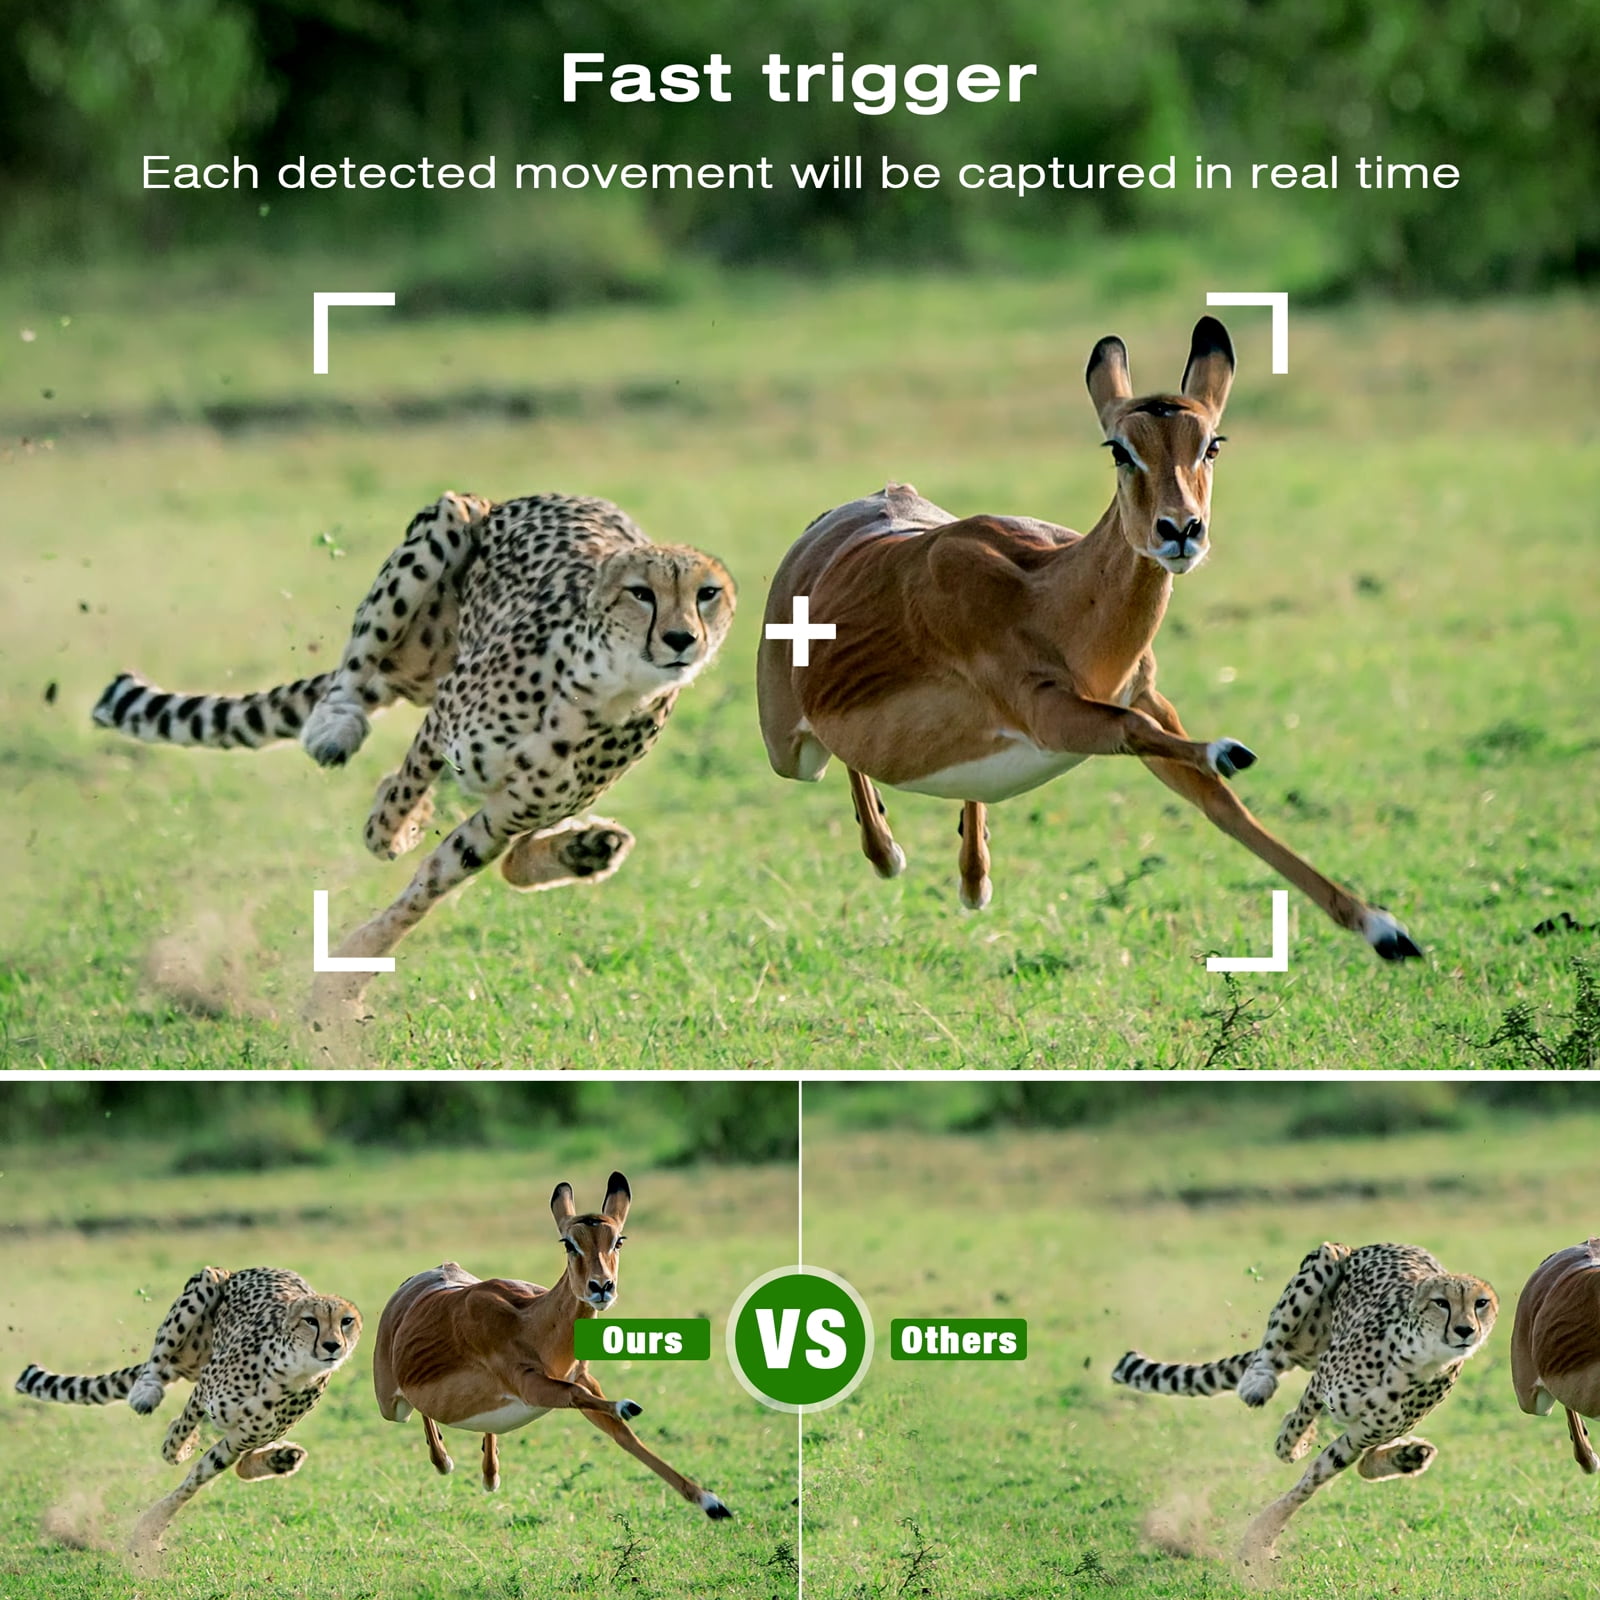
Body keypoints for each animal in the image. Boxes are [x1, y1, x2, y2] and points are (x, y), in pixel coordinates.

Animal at [371, 1171, 731, 1518]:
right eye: (569, 1243)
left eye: (618, 1240)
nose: (602, 1286)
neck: (531, 1323)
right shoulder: (531, 1385)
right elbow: (580, 1396)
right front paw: (627, 1405)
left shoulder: (582, 1377)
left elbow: (623, 1435)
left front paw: (713, 1504)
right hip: (392, 1406)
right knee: (418, 1411)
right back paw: (445, 1462)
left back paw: (489, 1475)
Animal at [756, 316, 1422, 963]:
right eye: (1121, 449)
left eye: (1211, 443)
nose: (1180, 529)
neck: (1052, 597)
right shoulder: (1050, 713)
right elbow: (1143, 735)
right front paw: (1227, 749)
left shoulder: (1143, 696)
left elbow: (1222, 806)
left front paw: (1387, 931)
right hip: (791, 754)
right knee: (842, 761)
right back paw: (890, 855)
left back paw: (973, 879)